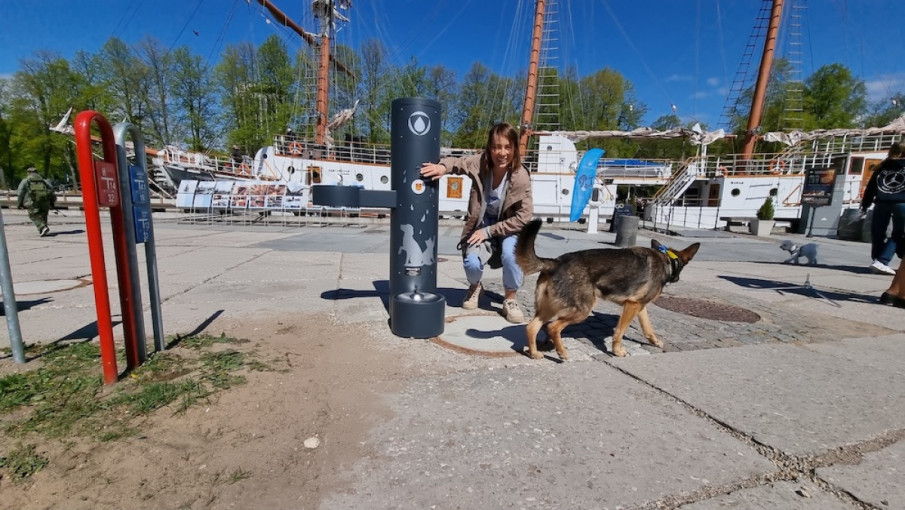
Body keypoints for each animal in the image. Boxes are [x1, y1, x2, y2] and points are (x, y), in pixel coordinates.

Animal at [516, 219, 700, 358]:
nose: (677, 279)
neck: (666, 259)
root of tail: (555, 262)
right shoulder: (631, 306)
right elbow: (619, 331)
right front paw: (617, 351)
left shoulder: (639, 307)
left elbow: (648, 328)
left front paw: (655, 342)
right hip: (581, 311)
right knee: (553, 327)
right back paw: (562, 353)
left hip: (548, 309)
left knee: (532, 327)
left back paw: (535, 353)